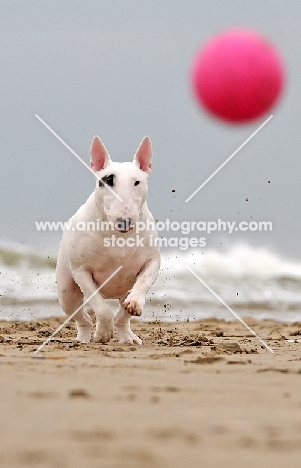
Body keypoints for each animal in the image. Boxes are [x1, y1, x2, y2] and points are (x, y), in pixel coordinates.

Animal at [55, 134, 161, 344]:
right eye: (106, 181)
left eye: (137, 182)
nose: (124, 221)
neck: (118, 237)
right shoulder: (81, 270)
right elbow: (100, 306)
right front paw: (103, 332)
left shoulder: (152, 260)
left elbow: (144, 280)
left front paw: (135, 302)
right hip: (66, 291)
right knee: (82, 317)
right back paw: (84, 337)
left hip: (124, 290)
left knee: (122, 314)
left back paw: (128, 336)